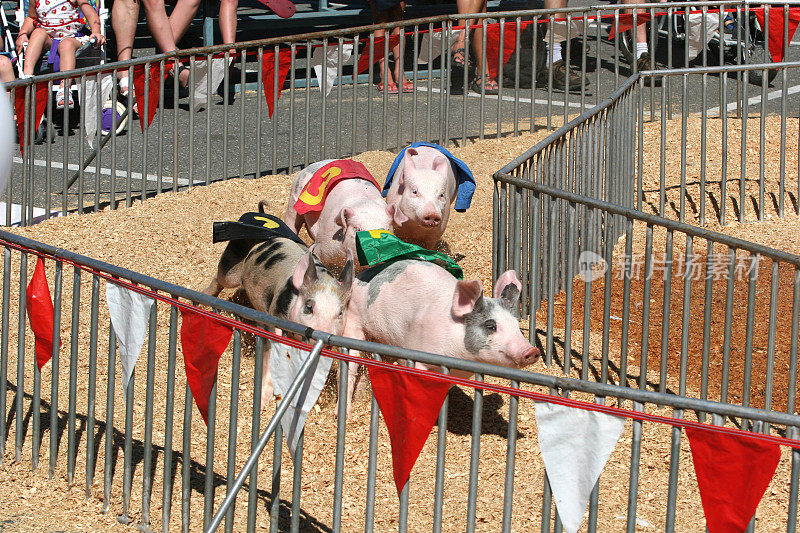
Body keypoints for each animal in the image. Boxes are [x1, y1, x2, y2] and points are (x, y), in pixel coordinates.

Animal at [340, 260, 540, 416]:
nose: (532, 350)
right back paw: (345, 413)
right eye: (491, 326)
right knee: (352, 364)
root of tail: (362, 274)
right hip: (354, 320)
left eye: (517, 325)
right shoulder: (419, 357)